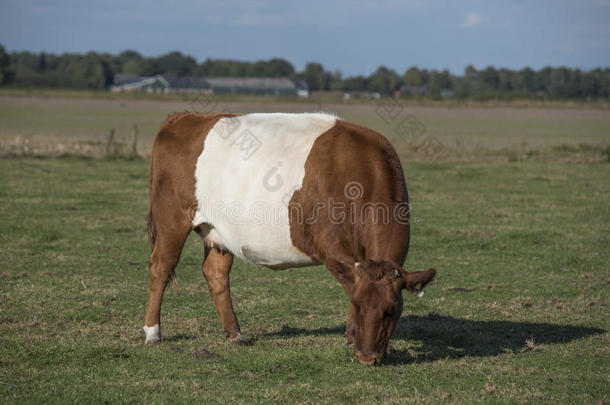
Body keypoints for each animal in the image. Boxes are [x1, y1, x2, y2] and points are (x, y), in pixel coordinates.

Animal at [144, 110, 434, 362]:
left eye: (391, 310)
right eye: (360, 306)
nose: (367, 357)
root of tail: (186, 116)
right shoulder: (333, 250)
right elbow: (350, 285)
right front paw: (353, 335)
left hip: (218, 231)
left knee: (216, 273)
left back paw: (236, 334)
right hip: (172, 217)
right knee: (161, 266)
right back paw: (153, 332)